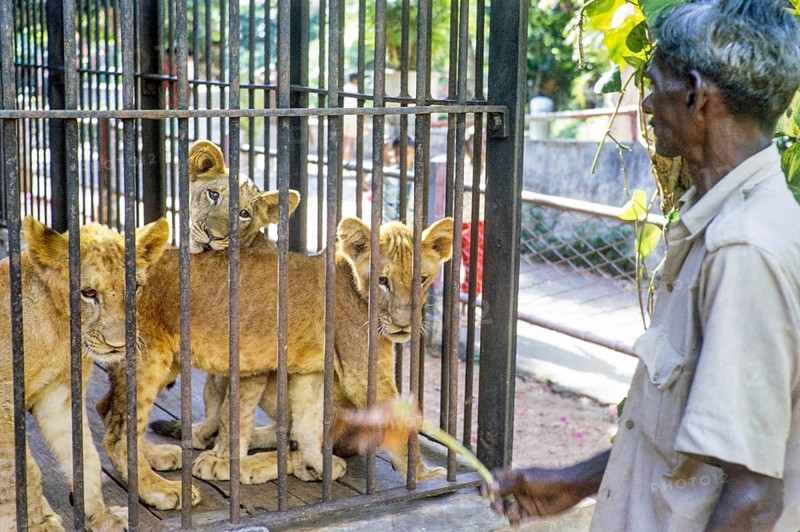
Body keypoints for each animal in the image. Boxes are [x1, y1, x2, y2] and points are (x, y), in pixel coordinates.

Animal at [0, 216, 169, 531]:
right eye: (88, 293)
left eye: (134, 288)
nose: (118, 345)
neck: (59, 332)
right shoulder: (3, 405)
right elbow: (18, 470)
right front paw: (37, 525)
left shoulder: (59, 394)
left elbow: (85, 458)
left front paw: (102, 519)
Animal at [98, 216, 453, 510]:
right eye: (383, 280)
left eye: (422, 279)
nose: (404, 325)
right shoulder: (363, 374)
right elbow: (401, 427)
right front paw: (424, 477)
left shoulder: (311, 373)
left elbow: (308, 427)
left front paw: (318, 466)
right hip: (148, 359)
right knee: (118, 434)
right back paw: (162, 490)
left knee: (109, 410)